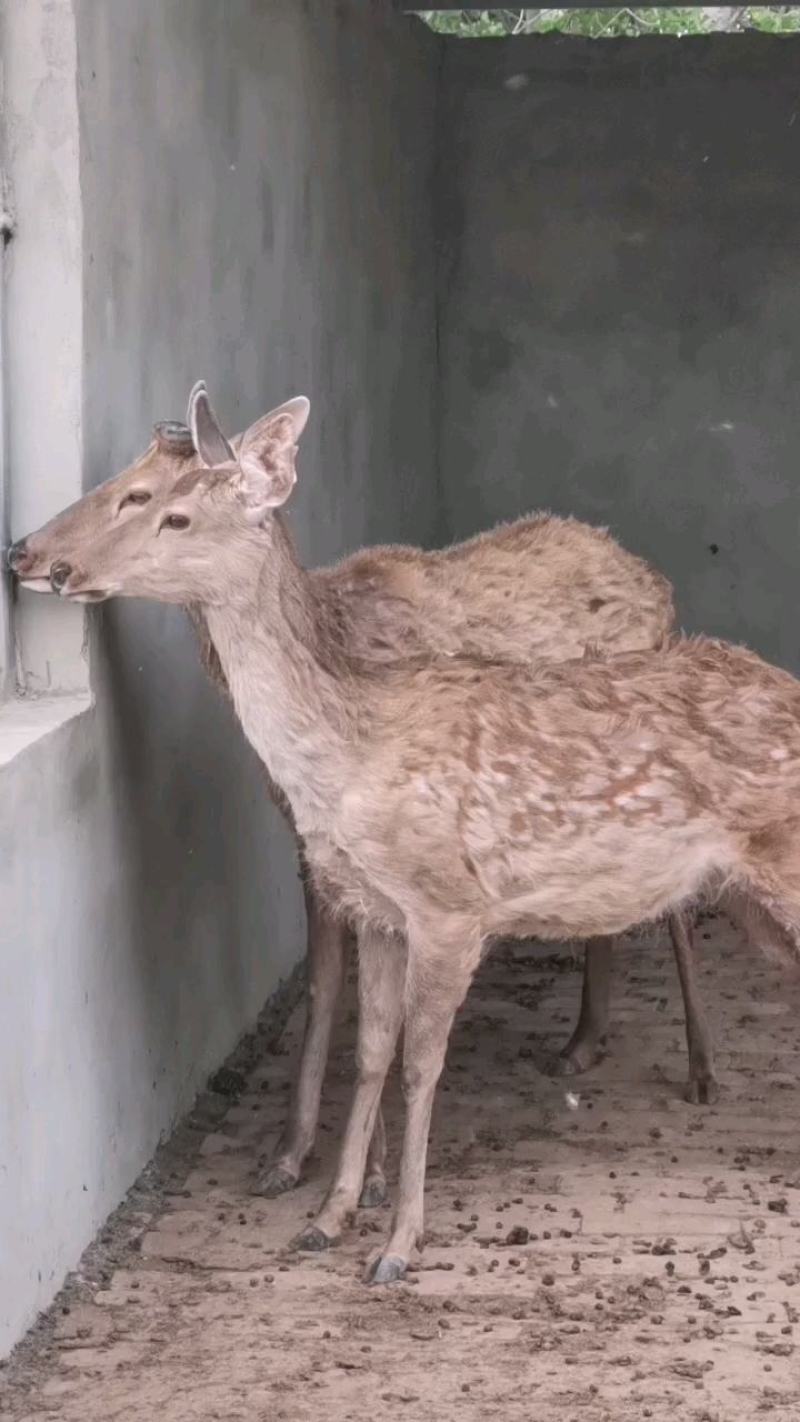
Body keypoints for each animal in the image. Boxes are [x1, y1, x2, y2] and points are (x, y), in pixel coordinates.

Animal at [31, 392, 800, 1284]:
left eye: (168, 509)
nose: (44, 565)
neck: (349, 749)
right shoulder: (377, 908)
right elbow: (371, 1050)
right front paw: (327, 1216)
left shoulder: (450, 905)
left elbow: (421, 1063)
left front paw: (397, 1242)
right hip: (747, 896)